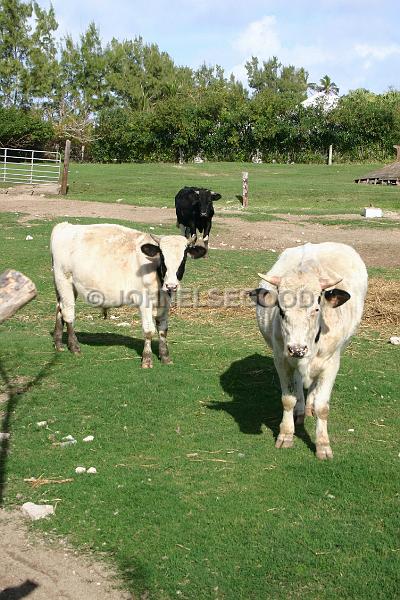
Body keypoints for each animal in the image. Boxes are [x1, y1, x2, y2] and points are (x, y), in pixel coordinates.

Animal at [50, 224, 206, 368]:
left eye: (184, 258)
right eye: (162, 256)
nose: (171, 285)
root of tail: (63, 226)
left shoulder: (165, 301)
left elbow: (163, 329)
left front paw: (165, 356)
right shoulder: (144, 301)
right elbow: (149, 330)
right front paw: (147, 360)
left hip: (65, 286)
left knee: (59, 308)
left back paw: (59, 344)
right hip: (64, 280)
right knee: (68, 314)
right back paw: (74, 347)